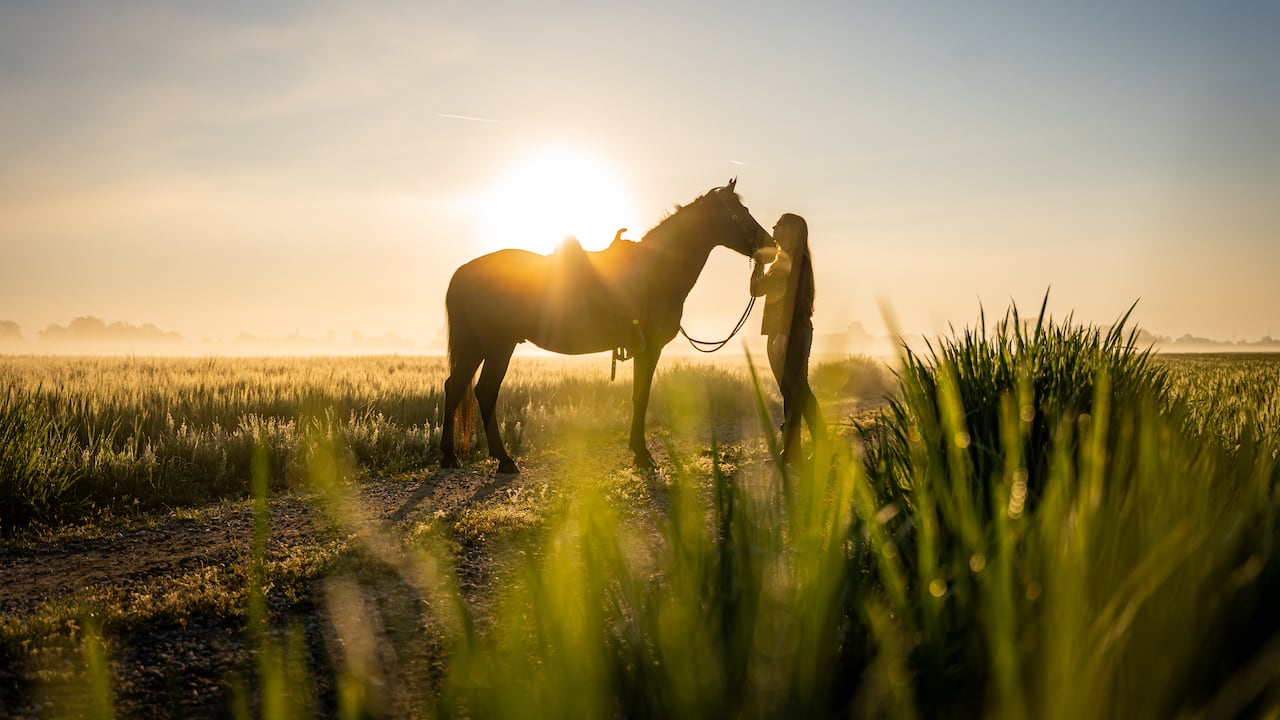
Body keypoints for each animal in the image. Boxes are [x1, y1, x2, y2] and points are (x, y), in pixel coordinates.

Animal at [440, 178, 772, 473]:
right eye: (739, 210)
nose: (771, 245)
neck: (656, 271)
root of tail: (463, 272)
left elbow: (640, 395)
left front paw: (638, 450)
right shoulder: (649, 349)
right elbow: (641, 396)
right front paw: (641, 454)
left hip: (475, 347)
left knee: (455, 387)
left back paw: (450, 457)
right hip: (498, 346)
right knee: (485, 391)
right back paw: (504, 459)